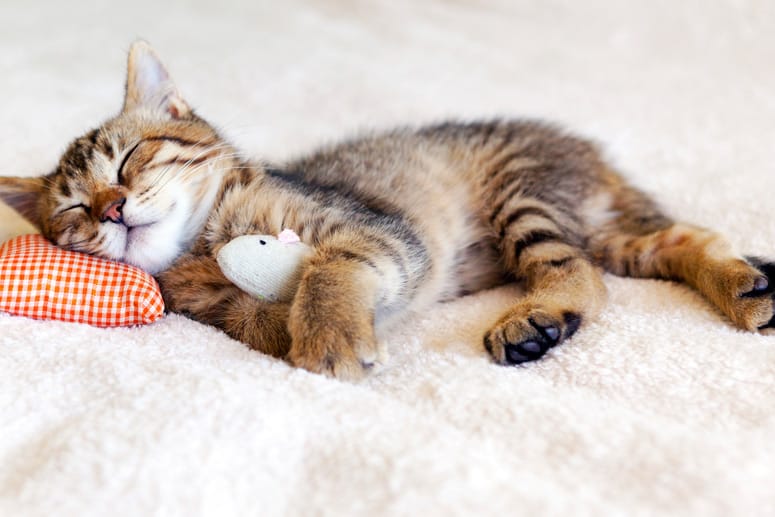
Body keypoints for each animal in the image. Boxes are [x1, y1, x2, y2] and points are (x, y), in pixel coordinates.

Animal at [1, 41, 775, 378]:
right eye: (74, 211)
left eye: (130, 159)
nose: (112, 210)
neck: (207, 241)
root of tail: (586, 152)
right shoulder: (212, 308)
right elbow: (253, 320)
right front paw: (287, 323)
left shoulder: (379, 232)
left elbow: (329, 269)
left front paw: (329, 330)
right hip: (608, 229)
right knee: (682, 239)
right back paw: (744, 288)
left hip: (522, 199)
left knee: (580, 272)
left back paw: (537, 319)